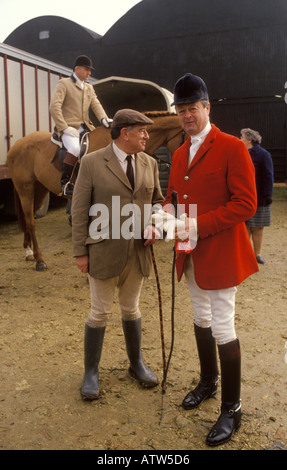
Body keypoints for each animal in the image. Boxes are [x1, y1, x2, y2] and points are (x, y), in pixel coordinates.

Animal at [7, 111, 187, 272]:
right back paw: (39, 260)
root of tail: (17, 143)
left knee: (29, 219)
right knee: (30, 221)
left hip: (39, 191)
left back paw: (29, 252)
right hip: (26, 189)